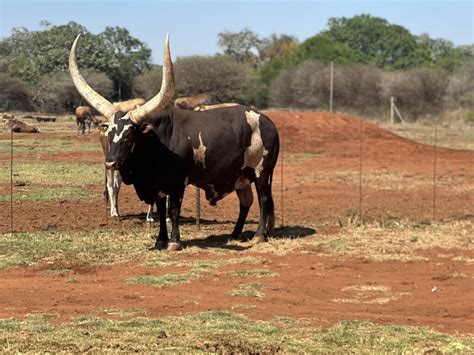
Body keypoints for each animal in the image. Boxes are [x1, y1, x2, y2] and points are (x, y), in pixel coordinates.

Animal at [68, 32, 280, 250]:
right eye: (110, 134)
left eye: (129, 135)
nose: (110, 163)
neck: (156, 142)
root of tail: (268, 122)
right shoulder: (158, 185)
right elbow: (161, 211)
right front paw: (160, 240)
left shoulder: (177, 182)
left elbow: (173, 211)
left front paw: (174, 242)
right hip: (241, 175)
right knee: (246, 202)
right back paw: (235, 234)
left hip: (262, 172)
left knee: (264, 199)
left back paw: (259, 235)